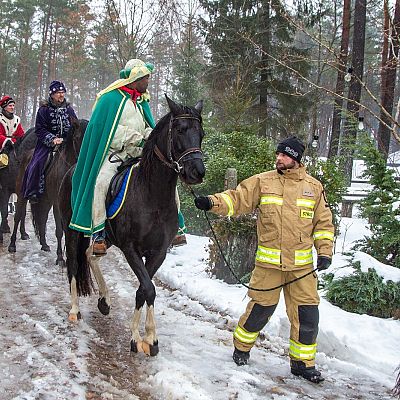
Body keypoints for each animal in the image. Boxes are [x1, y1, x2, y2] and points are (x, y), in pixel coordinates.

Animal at [61, 95, 205, 354]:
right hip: (72, 230)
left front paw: (149, 338)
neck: (152, 196)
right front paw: (139, 338)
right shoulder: (131, 249)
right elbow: (148, 288)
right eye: (180, 130)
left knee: (91, 254)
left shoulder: (158, 252)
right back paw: (75, 310)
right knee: (75, 264)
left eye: (202, 133)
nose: (197, 172)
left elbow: (144, 290)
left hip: (105, 237)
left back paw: (104, 300)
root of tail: (72, 172)